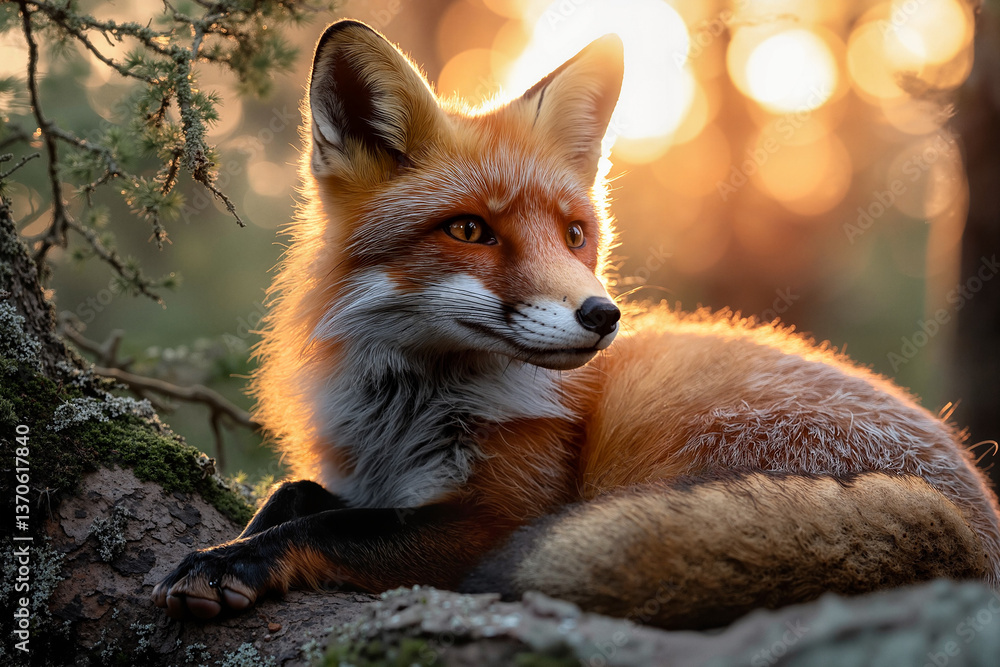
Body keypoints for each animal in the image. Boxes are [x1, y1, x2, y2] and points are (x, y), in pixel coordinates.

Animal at [152, 20, 1000, 629]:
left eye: (573, 234)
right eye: (470, 230)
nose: (603, 315)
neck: (406, 412)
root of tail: (971, 523)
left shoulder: (496, 518)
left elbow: (328, 529)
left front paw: (233, 559)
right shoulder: (379, 481)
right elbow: (295, 496)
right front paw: (238, 538)